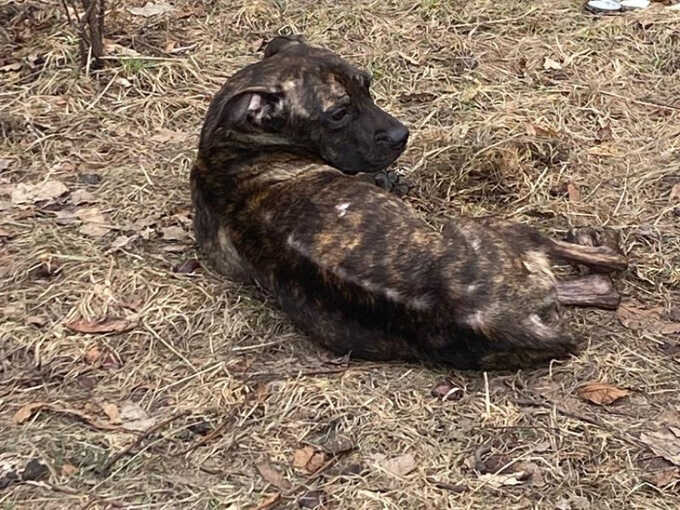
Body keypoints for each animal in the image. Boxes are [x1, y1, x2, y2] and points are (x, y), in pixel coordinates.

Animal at [191, 36, 628, 370]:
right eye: (338, 114)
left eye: (367, 85)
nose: (402, 135)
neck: (232, 148)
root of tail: (507, 319)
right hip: (493, 226)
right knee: (609, 269)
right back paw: (593, 241)